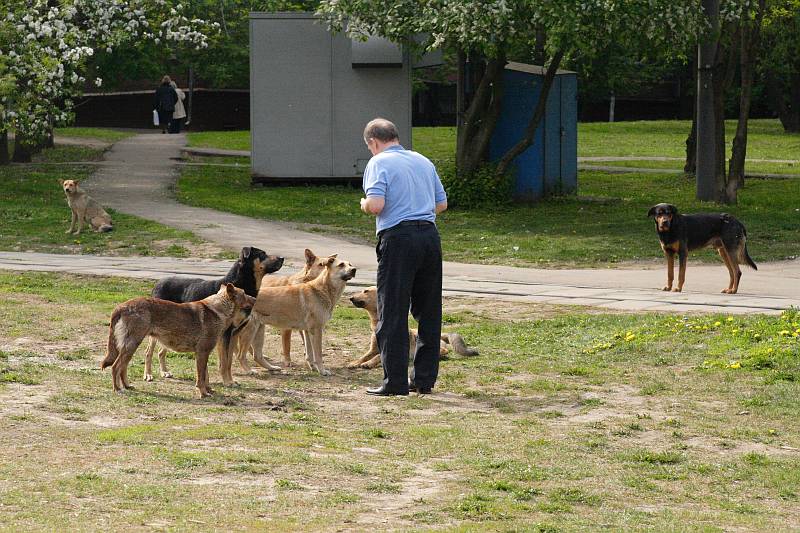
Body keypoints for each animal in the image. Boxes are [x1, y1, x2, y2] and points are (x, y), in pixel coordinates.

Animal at [101, 282, 255, 394]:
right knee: (116, 367)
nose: (255, 298)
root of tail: (121, 306)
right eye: (244, 293)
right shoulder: (202, 352)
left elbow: (205, 377)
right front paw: (203, 393)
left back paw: (127, 386)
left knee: (123, 368)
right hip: (132, 344)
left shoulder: (203, 353)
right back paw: (117, 389)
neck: (218, 310)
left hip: (130, 347)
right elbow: (201, 378)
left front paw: (209, 390)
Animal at [346, 284, 478, 368]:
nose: (350, 298)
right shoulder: (373, 349)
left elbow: (378, 356)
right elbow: (364, 356)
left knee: (444, 351)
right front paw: (355, 362)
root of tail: (441, 335)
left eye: (366, 291)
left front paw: (368, 363)